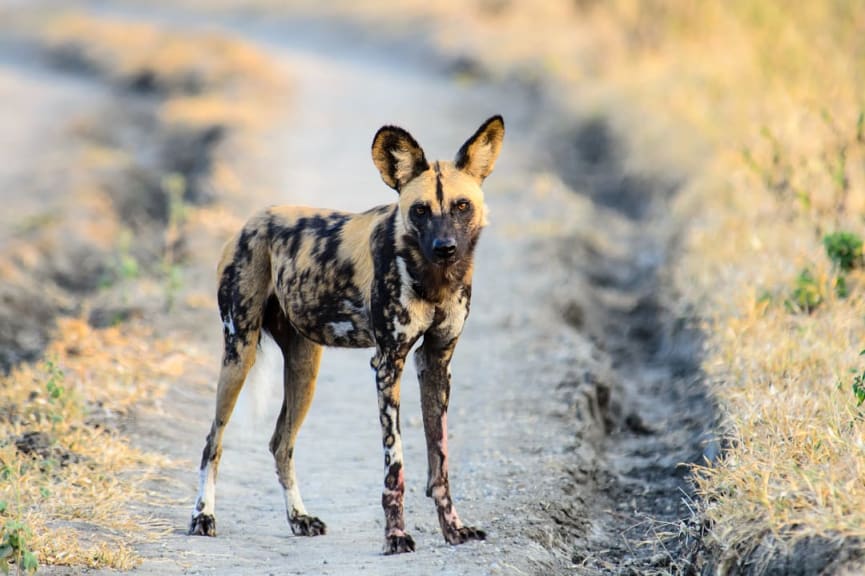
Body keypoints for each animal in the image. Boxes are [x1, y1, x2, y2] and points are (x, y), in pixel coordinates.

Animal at [186, 115, 502, 552]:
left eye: (462, 206)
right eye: (420, 210)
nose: (446, 247)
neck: (434, 278)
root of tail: (251, 221)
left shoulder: (436, 362)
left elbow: (439, 463)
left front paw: (454, 529)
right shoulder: (387, 364)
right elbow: (395, 467)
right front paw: (396, 536)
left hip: (305, 370)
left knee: (280, 443)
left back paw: (298, 518)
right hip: (239, 353)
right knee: (212, 442)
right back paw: (203, 516)